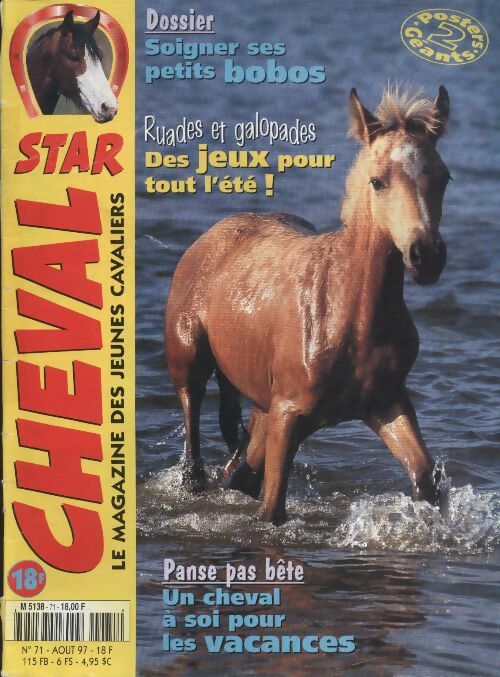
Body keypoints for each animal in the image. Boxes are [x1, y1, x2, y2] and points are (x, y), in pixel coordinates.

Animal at [165, 85, 451, 525]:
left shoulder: (386, 403)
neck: (350, 315)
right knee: (195, 442)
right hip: (190, 362)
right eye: (378, 181)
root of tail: (209, 237)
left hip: (253, 396)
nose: (426, 256)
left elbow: (425, 479)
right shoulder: (287, 414)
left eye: (443, 178)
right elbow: (271, 510)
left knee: (237, 466)